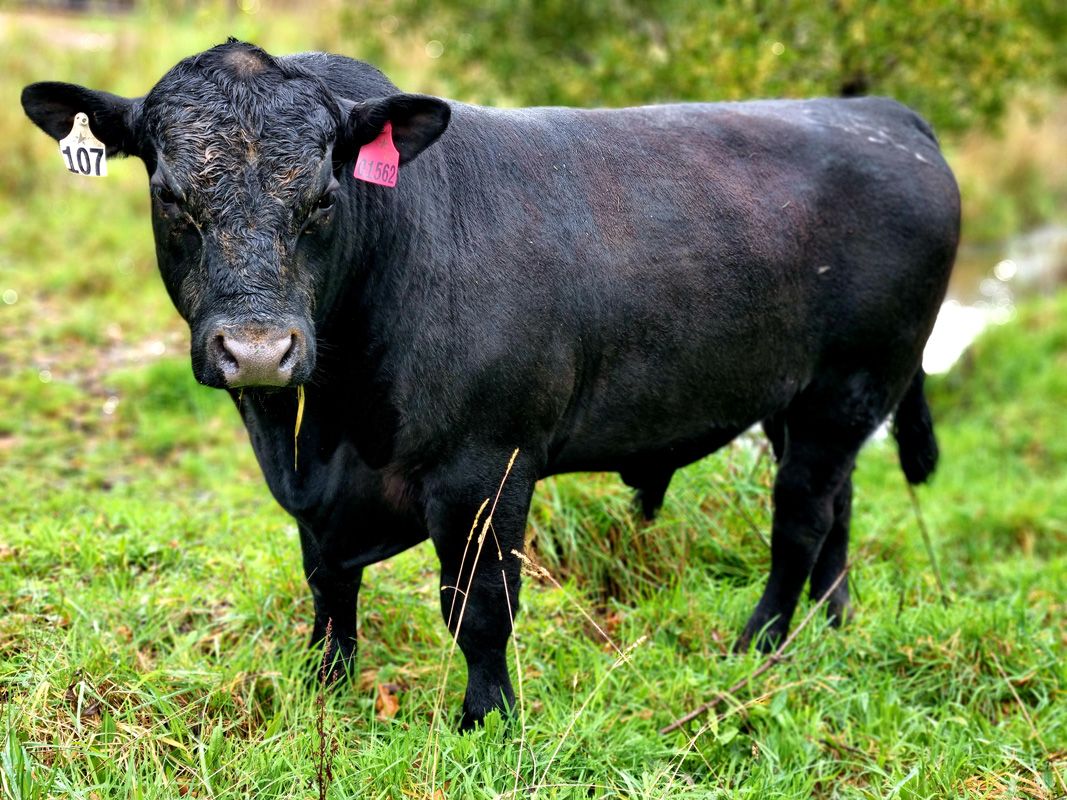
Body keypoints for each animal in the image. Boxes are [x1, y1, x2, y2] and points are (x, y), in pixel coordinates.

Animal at [22, 40, 959, 730]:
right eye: (170, 194)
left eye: (324, 196)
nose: (258, 351)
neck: (326, 428)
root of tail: (879, 113)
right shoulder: (320, 495)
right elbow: (328, 588)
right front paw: (324, 687)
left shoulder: (487, 466)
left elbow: (478, 606)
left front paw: (488, 720)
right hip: (804, 402)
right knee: (836, 506)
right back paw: (832, 626)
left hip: (849, 384)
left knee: (799, 517)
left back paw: (759, 642)